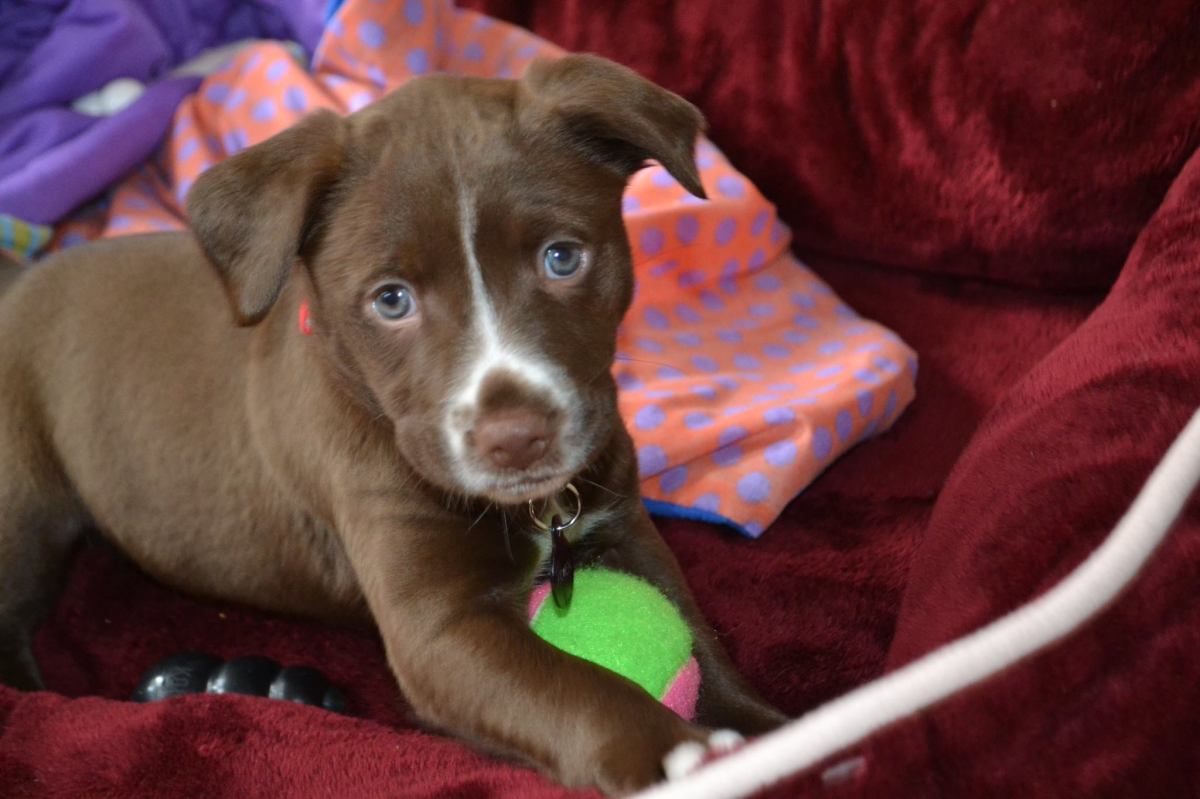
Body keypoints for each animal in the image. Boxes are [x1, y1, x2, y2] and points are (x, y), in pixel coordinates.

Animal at [0, 54, 787, 791]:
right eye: (391, 300)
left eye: (562, 257)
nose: (515, 438)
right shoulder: (439, 627)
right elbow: (577, 686)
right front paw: (674, 752)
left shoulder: (622, 522)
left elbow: (702, 639)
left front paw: (775, 730)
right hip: (24, 510)